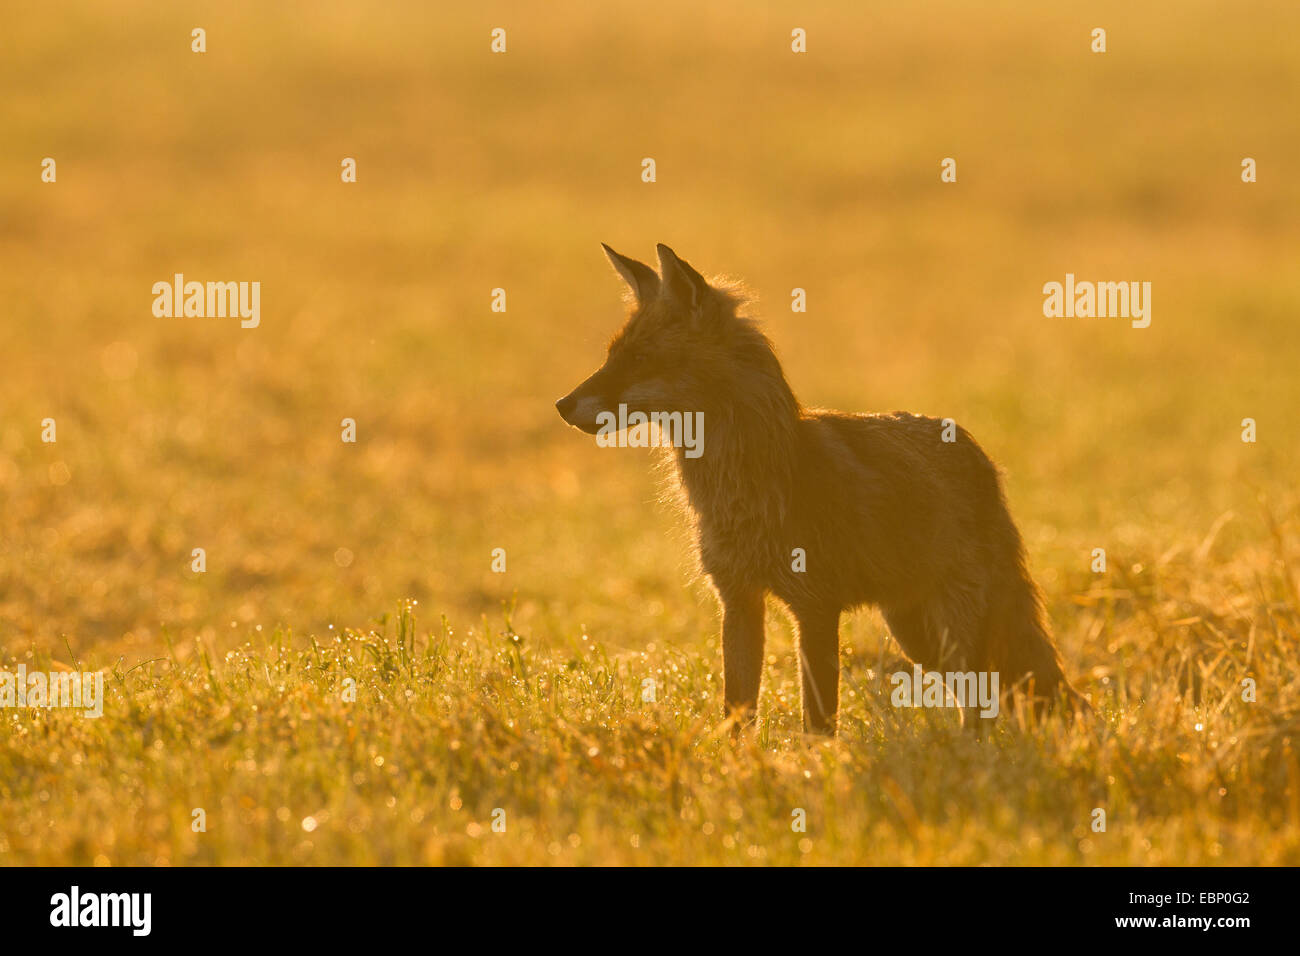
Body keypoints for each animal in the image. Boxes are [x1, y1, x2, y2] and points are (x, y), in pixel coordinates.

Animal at [553, 244, 1081, 733]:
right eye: (611, 356)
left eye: (640, 359)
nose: (561, 405)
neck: (743, 485)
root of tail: (976, 452)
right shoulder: (738, 600)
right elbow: (738, 712)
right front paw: (742, 766)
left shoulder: (815, 606)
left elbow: (818, 724)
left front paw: (815, 769)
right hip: (915, 633)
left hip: (952, 627)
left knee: (982, 703)